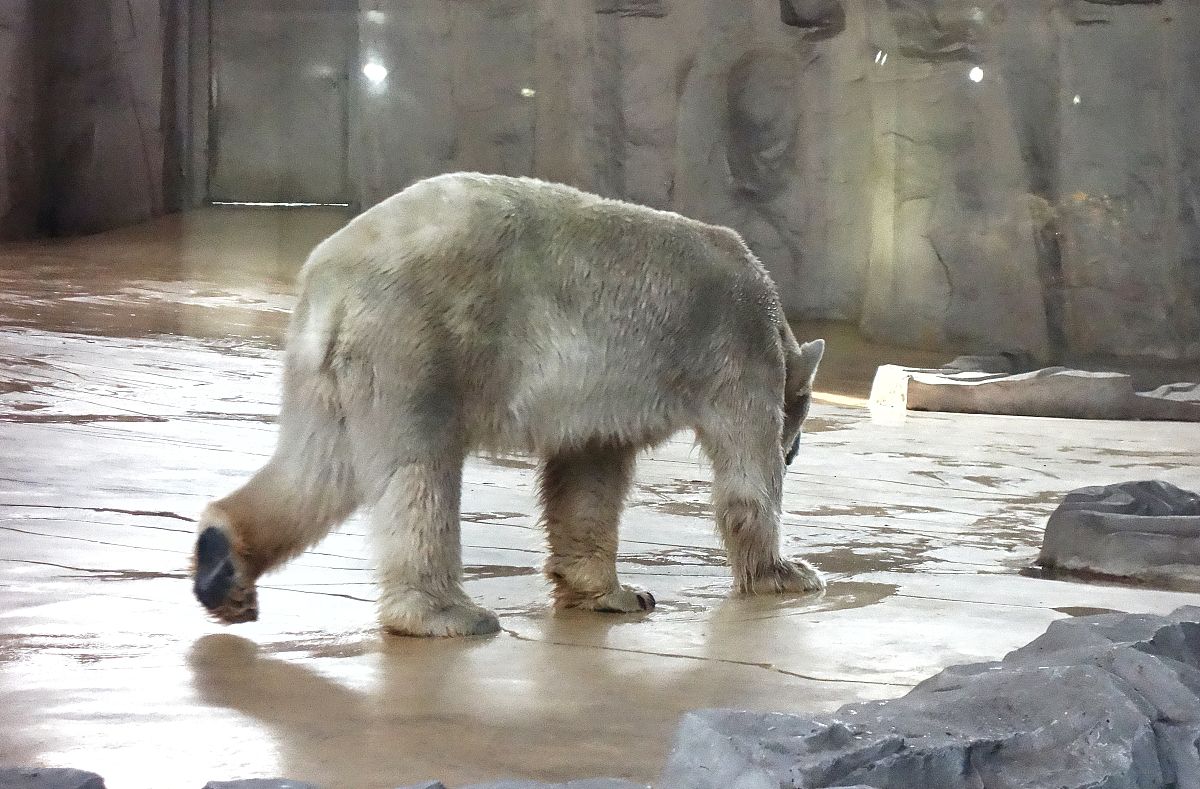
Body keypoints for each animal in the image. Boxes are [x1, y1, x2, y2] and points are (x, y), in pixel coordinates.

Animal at [192, 172, 826, 637]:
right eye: (797, 419)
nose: (795, 453)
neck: (774, 317)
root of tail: (333, 280)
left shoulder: (600, 408)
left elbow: (587, 477)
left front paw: (617, 593)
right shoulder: (739, 347)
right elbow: (746, 479)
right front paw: (790, 574)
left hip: (331, 366)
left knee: (318, 464)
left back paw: (222, 567)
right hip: (418, 338)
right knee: (416, 469)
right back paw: (447, 613)